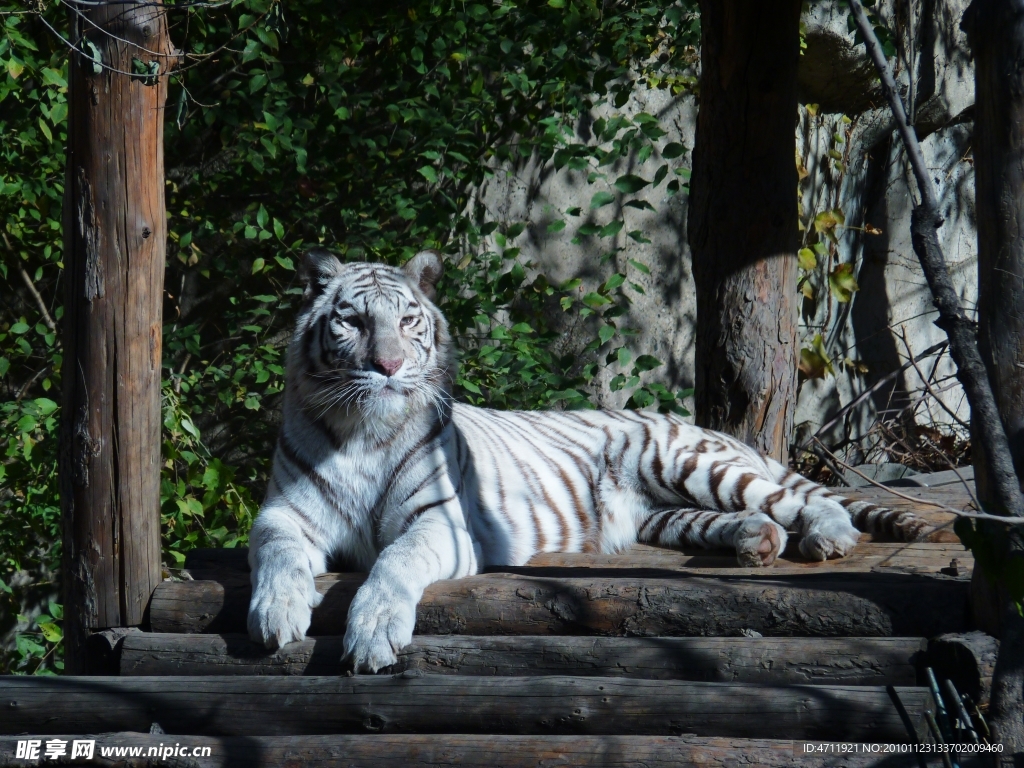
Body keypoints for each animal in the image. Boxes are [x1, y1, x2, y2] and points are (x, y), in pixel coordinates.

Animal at [246, 248, 930, 673]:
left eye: (409, 321)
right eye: (352, 321)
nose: (388, 367)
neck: (363, 431)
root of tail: (703, 426)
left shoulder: (440, 521)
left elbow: (394, 562)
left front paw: (373, 632)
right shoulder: (282, 513)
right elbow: (278, 557)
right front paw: (276, 613)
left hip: (690, 464)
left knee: (797, 500)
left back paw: (827, 539)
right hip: (665, 514)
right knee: (751, 521)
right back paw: (756, 545)